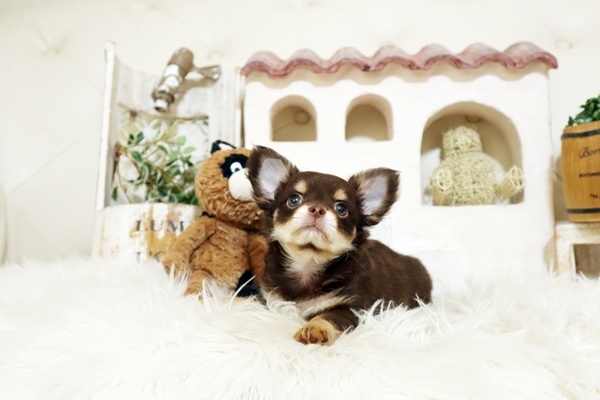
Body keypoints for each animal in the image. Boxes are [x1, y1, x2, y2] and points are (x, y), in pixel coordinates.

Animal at [247, 146, 432, 345]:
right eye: (294, 200)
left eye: (341, 208)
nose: (317, 209)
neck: (308, 263)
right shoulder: (270, 299)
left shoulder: (352, 308)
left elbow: (327, 317)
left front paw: (313, 329)